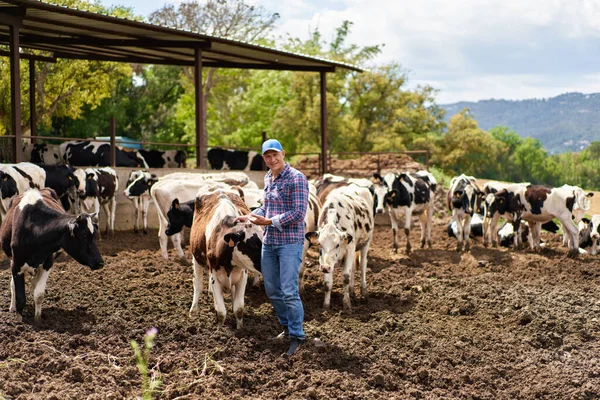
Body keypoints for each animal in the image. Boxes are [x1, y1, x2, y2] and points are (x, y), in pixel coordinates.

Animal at [0, 188, 104, 322]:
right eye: (84, 235)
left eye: (95, 235)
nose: (101, 262)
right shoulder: (16, 264)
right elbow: (20, 296)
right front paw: (19, 318)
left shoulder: (48, 262)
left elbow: (39, 294)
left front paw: (38, 319)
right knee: (13, 285)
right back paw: (12, 307)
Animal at [189, 190, 262, 328]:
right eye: (253, 244)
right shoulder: (215, 278)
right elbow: (221, 311)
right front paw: (220, 329)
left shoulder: (242, 276)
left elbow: (239, 308)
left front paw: (240, 328)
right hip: (196, 258)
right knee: (198, 283)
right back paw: (193, 310)